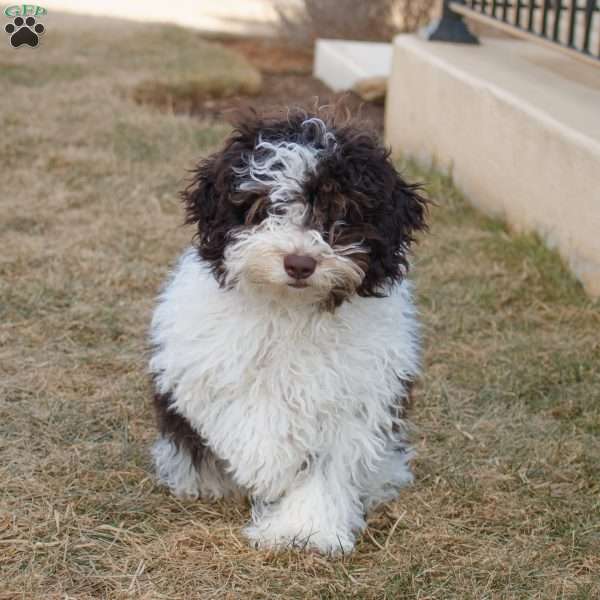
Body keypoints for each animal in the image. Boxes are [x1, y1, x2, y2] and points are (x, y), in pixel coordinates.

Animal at [152, 108, 428, 552]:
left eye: (342, 212)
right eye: (266, 206)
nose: (299, 263)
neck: (291, 310)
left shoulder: (357, 393)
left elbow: (326, 463)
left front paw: (306, 529)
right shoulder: (206, 363)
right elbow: (250, 417)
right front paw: (269, 463)